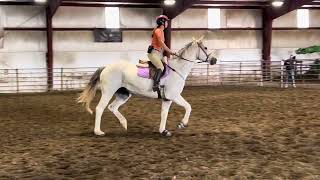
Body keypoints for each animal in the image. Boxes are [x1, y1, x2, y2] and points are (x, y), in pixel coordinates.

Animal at [78, 38, 218, 136]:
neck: (177, 70)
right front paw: (182, 124)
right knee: (100, 108)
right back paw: (98, 131)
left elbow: (164, 114)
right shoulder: (174, 96)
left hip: (124, 94)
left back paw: (124, 124)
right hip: (108, 92)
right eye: (205, 47)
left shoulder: (167, 99)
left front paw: (163, 130)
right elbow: (188, 107)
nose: (214, 60)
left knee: (113, 107)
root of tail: (106, 67)